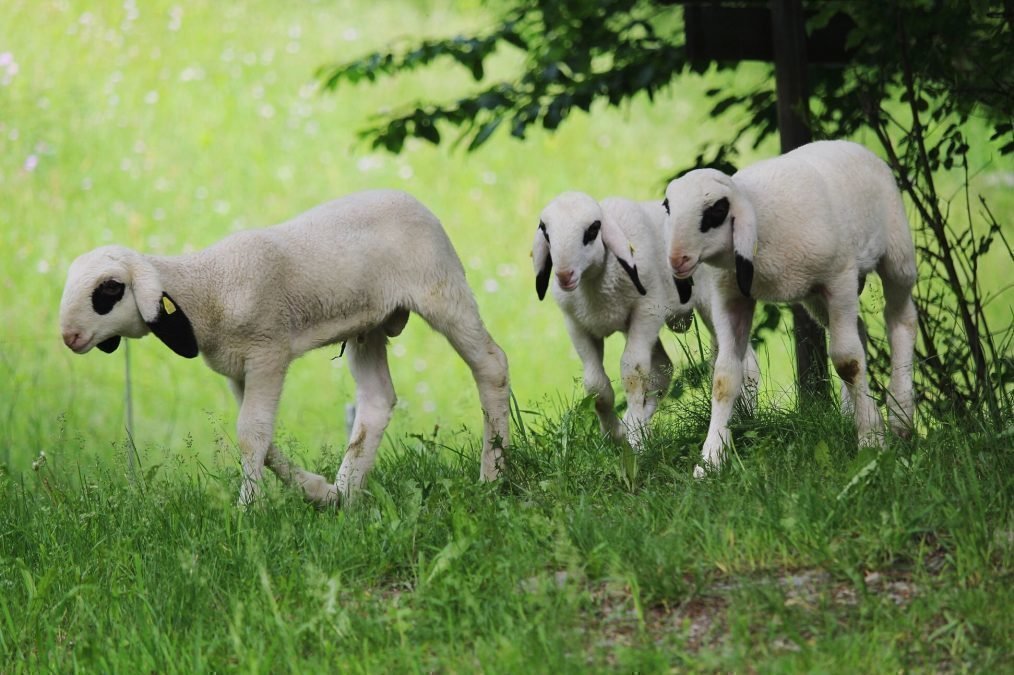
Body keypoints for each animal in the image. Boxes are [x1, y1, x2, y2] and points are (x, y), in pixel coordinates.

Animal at [59, 186, 511, 502]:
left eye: (110, 289)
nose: (69, 337)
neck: (208, 288)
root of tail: (413, 199)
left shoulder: (267, 352)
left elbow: (252, 434)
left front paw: (248, 509)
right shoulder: (237, 368)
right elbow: (261, 438)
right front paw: (316, 490)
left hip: (441, 288)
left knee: (491, 363)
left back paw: (494, 474)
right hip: (369, 322)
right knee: (377, 400)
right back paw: (345, 495)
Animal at [531, 189, 762, 443]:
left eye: (593, 229)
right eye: (546, 233)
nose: (564, 275)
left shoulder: (647, 312)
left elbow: (632, 372)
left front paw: (635, 438)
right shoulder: (577, 324)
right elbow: (596, 386)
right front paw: (616, 435)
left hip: (714, 302)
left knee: (747, 363)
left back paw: (746, 418)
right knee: (663, 369)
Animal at [665, 137, 920, 472]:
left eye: (716, 210)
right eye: (668, 207)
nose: (676, 260)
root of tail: (846, 143)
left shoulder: (838, 277)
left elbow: (847, 361)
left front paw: (871, 440)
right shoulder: (730, 296)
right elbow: (724, 376)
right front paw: (709, 462)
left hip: (896, 253)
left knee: (901, 319)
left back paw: (901, 416)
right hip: (815, 294)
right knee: (860, 330)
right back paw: (853, 412)